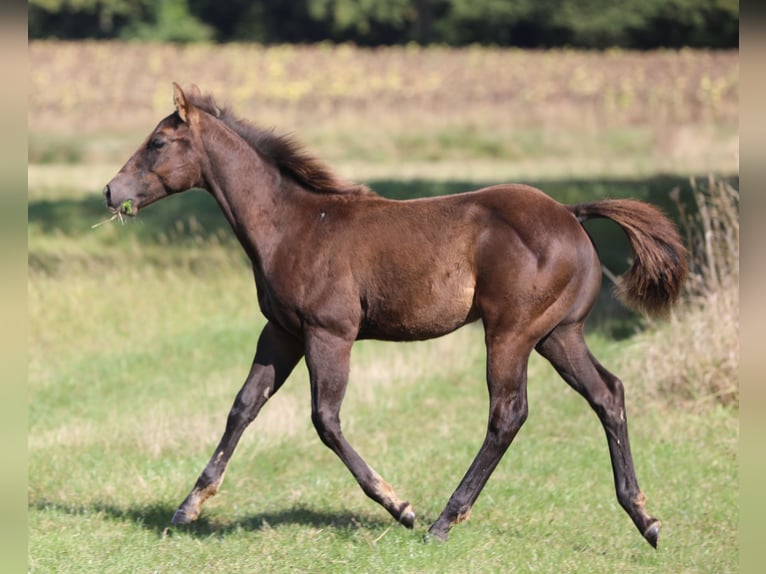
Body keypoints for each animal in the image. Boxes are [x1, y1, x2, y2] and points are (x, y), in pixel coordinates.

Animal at [103, 84, 688, 548]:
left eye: (157, 142)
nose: (110, 191)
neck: (293, 224)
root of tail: (571, 213)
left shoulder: (330, 333)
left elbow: (325, 419)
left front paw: (398, 506)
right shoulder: (282, 332)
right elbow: (243, 405)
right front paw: (189, 506)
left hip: (511, 332)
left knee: (508, 413)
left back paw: (443, 521)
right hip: (559, 334)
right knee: (607, 393)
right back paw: (645, 518)